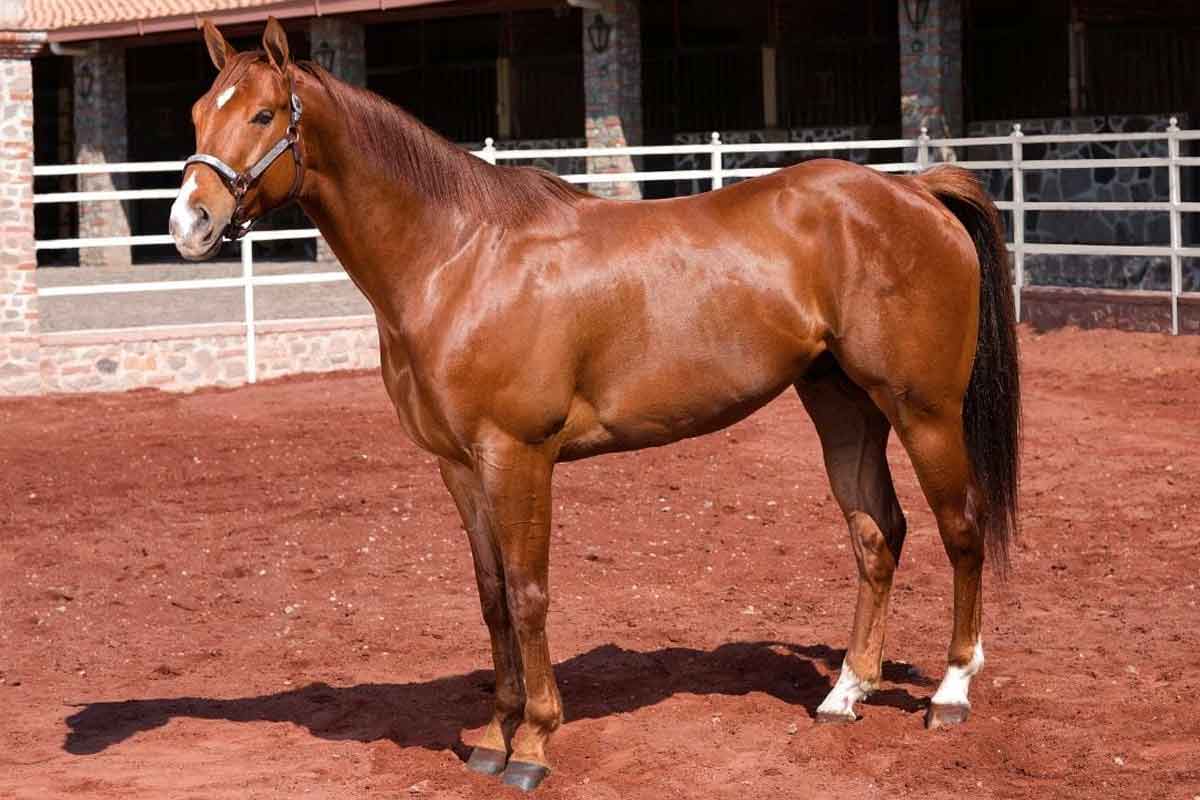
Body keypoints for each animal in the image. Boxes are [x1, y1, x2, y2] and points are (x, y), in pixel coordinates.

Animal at [170, 18, 1020, 792]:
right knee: (878, 535)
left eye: (263, 116)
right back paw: (846, 692)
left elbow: (528, 594)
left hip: (924, 412)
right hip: (843, 406)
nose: (190, 222)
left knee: (960, 529)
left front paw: (533, 745)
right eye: (199, 112)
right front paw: (491, 739)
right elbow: (492, 600)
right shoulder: (460, 467)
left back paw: (950, 692)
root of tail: (913, 191)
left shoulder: (518, 456)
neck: (460, 257)